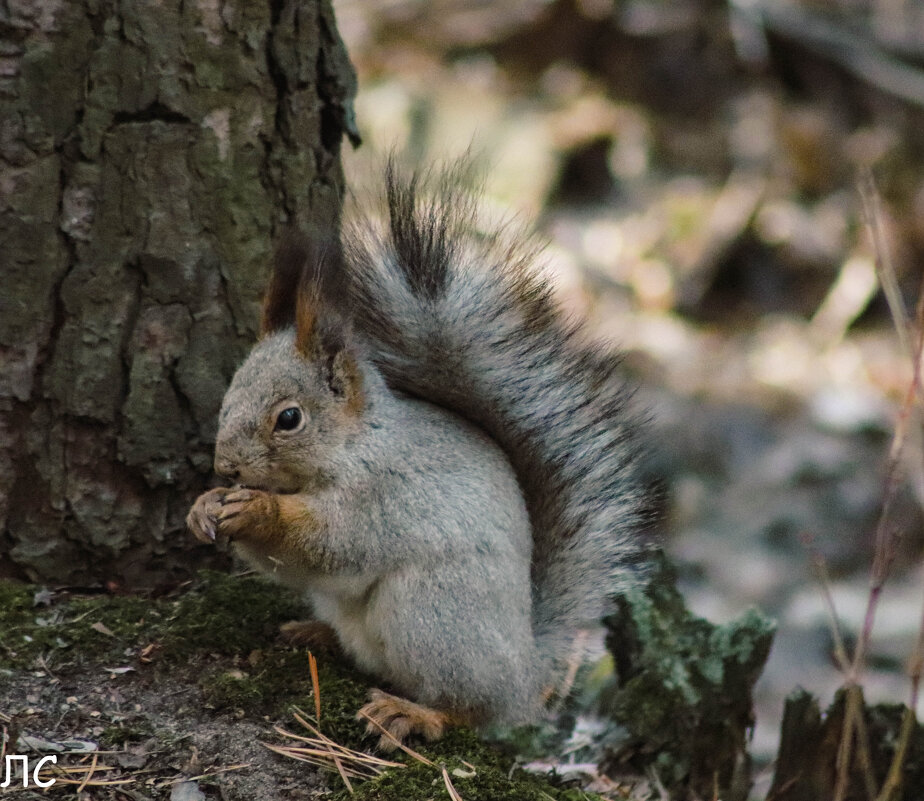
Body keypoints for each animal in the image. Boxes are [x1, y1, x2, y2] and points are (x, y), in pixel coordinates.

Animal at [186, 159, 648, 748]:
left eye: (288, 418)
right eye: (230, 393)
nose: (226, 467)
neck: (356, 443)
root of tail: (525, 679)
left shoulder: (383, 495)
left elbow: (330, 544)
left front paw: (257, 510)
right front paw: (204, 506)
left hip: (430, 612)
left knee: (467, 707)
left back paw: (412, 714)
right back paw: (315, 634)